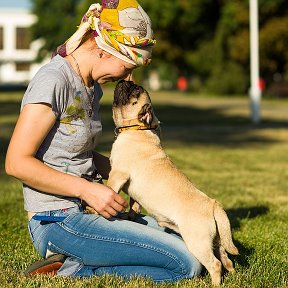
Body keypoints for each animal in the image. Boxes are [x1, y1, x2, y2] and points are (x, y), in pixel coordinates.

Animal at [107, 79, 238, 286]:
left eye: (132, 92)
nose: (125, 81)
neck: (137, 129)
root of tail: (213, 205)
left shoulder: (118, 174)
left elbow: (108, 188)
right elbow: (134, 204)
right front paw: (131, 216)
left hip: (197, 241)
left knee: (215, 264)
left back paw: (215, 283)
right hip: (215, 239)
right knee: (225, 258)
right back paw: (232, 274)